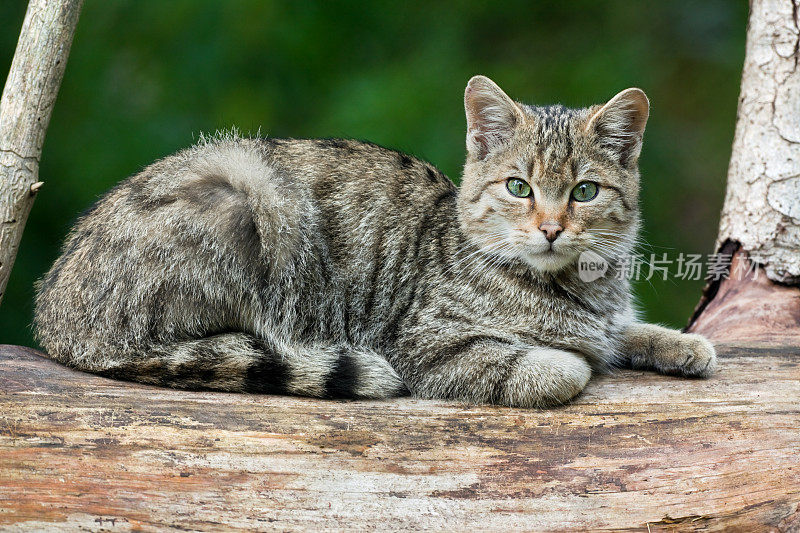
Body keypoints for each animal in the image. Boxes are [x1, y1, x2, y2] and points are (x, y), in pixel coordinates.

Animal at [34, 76, 716, 408]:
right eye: (519, 187)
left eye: (584, 192)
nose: (550, 228)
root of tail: (52, 309)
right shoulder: (427, 345)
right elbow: (553, 367)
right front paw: (567, 361)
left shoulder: (607, 319)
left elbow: (625, 332)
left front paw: (680, 343)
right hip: (251, 197)